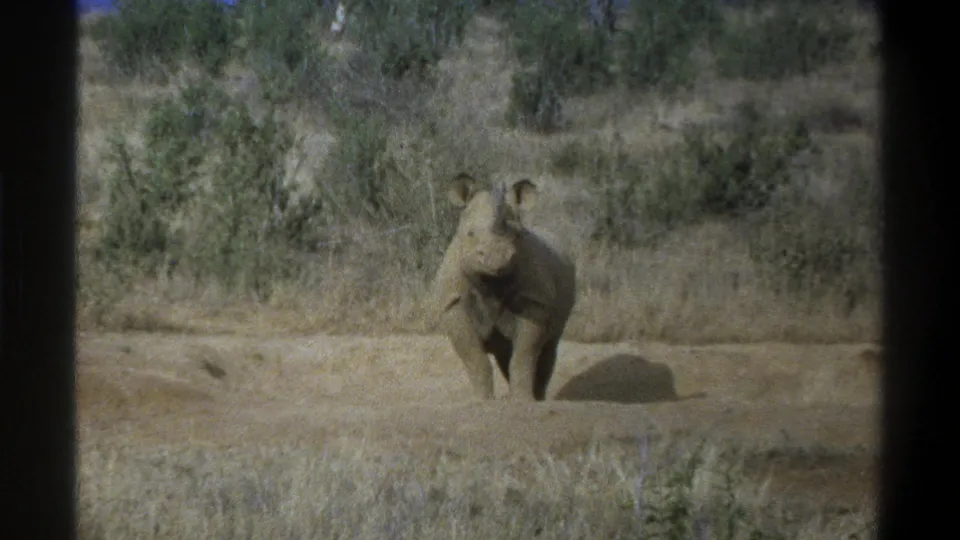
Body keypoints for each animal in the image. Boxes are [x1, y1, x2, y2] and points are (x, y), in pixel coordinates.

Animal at [429, 173, 577, 401]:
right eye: (470, 233)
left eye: (518, 235)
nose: (496, 257)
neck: (490, 282)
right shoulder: (452, 302)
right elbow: (474, 357)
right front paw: (481, 401)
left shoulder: (535, 299)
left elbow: (524, 356)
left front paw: (523, 400)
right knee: (504, 353)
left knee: (548, 348)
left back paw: (538, 398)